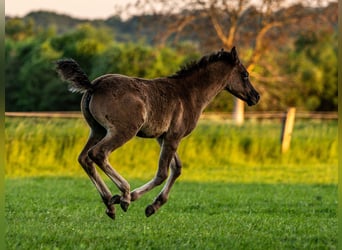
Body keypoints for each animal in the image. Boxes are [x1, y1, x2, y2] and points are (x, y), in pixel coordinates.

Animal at [56, 46, 260, 219]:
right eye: (245, 74)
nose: (256, 96)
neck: (189, 94)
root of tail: (94, 85)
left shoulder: (164, 137)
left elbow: (177, 168)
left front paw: (153, 206)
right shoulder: (173, 137)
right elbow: (163, 173)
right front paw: (135, 199)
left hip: (97, 130)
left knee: (84, 158)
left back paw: (110, 203)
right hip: (123, 131)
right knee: (98, 153)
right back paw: (124, 194)